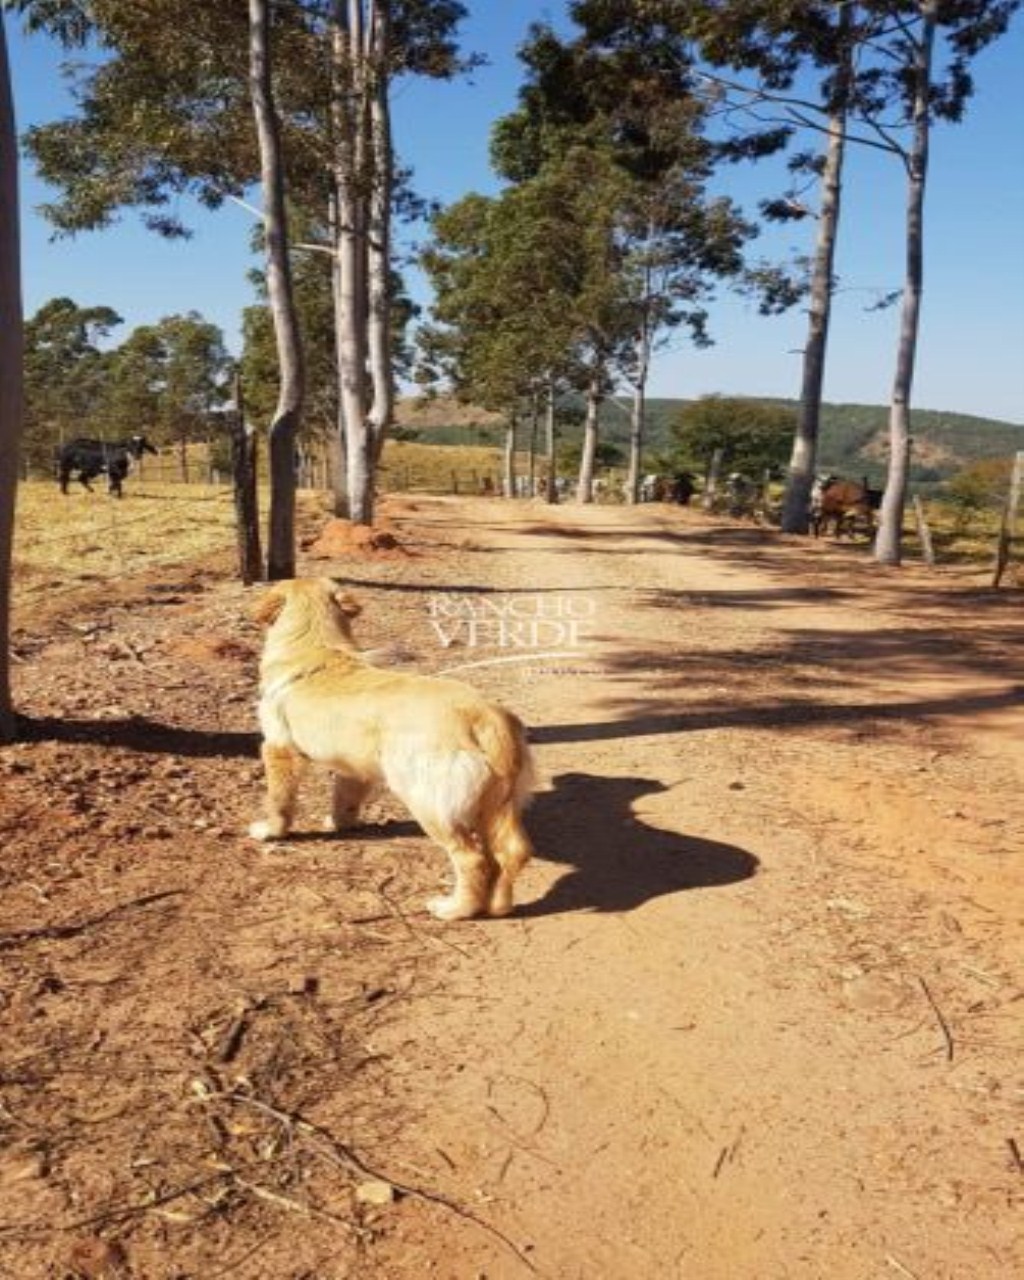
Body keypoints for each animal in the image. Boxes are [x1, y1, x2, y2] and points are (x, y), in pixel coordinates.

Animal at [249, 581, 535, 921]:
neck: (315, 643)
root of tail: (484, 716)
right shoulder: (353, 767)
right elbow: (344, 800)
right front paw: (340, 824)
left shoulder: (278, 749)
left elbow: (278, 800)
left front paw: (271, 831)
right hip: (495, 805)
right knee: (510, 854)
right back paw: (498, 907)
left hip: (428, 802)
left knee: (472, 858)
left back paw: (454, 909)